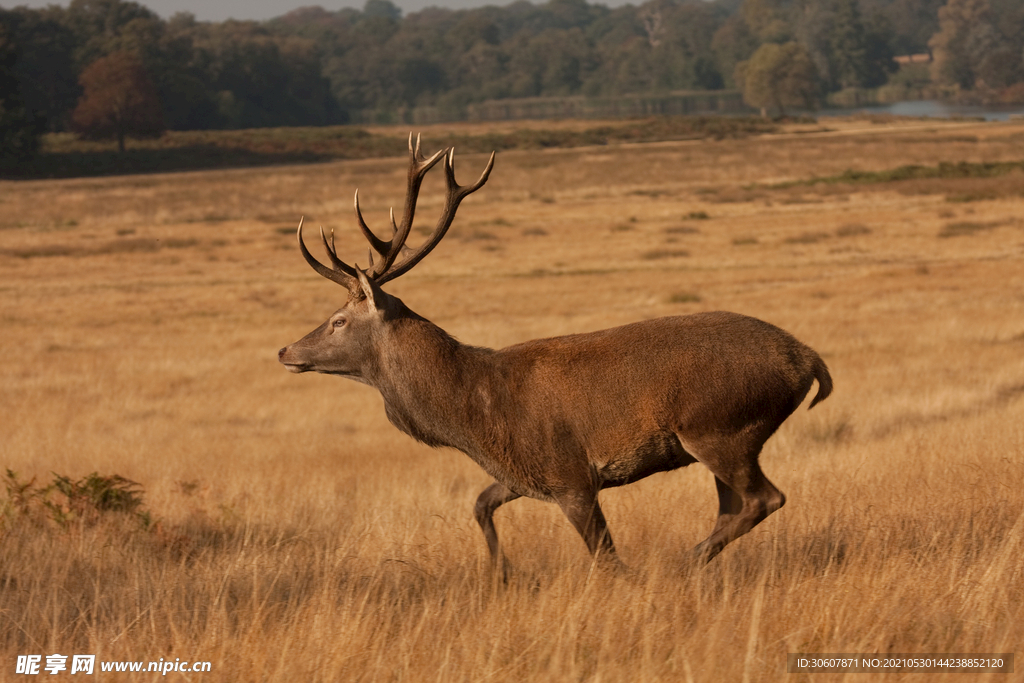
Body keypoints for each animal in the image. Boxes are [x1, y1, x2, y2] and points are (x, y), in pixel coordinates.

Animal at [278, 135, 831, 577]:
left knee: (764, 497)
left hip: (720, 428)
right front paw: (503, 574)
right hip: (720, 440)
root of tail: (809, 361)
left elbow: (606, 558)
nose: (285, 349)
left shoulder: (572, 476)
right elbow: (479, 504)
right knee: (734, 506)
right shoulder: (522, 474)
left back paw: (682, 561)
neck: (475, 413)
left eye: (338, 320)